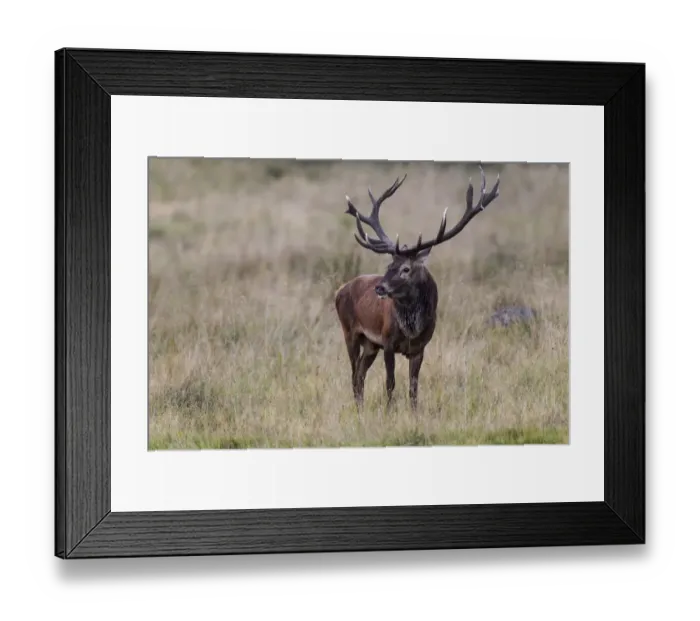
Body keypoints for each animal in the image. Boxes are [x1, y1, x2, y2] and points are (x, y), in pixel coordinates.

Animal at [334, 165, 501, 411]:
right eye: (389, 265)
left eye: (406, 268)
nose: (380, 288)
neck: (412, 329)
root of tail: (339, 291)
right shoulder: (388, 342)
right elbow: (390, 383)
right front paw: (389, 412)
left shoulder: (420, 348)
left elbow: (413, 388)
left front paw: (414, 414)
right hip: (350, 332)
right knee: (355, 376)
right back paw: (358, 411)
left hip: (371, 345)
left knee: (360, 375)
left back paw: (361, 410)